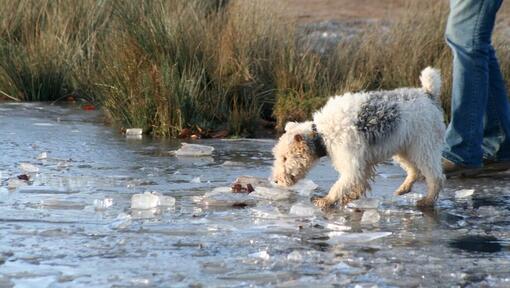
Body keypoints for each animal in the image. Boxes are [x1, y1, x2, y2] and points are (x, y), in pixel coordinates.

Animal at [272, 67, 444, 207]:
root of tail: (427, 94)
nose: (275, 180)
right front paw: (351, 197)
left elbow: (339, 186)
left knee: (435, 177)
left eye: (285, 158)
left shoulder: (351, 164)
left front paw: (326, 200)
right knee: (415, 170)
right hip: (405, 147)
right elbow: (360, 183)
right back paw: (404, 189)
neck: (322, 134)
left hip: (424, 147)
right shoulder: (362, 163)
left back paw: (427, 200)